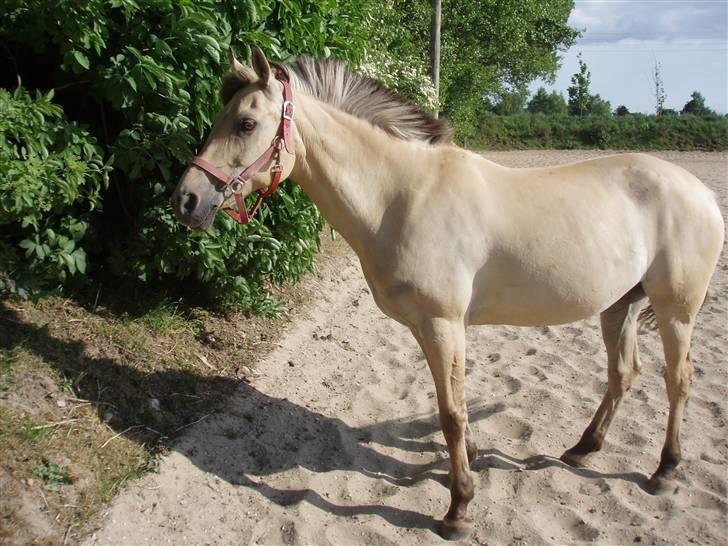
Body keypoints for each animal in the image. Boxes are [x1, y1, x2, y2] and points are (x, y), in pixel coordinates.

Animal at [171, 44, 724, 536]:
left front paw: (459, 507)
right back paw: (583, 449)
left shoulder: (442, 324)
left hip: (675, 311)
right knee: (623, 375)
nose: (187, 201)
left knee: (678, 380)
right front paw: (471, 463)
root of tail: (699, 191)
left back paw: (665, 471)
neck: (401, 195)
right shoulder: (428, 328)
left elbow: (452, 413)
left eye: (246, 124)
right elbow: (452, 403)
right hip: (619, 306)